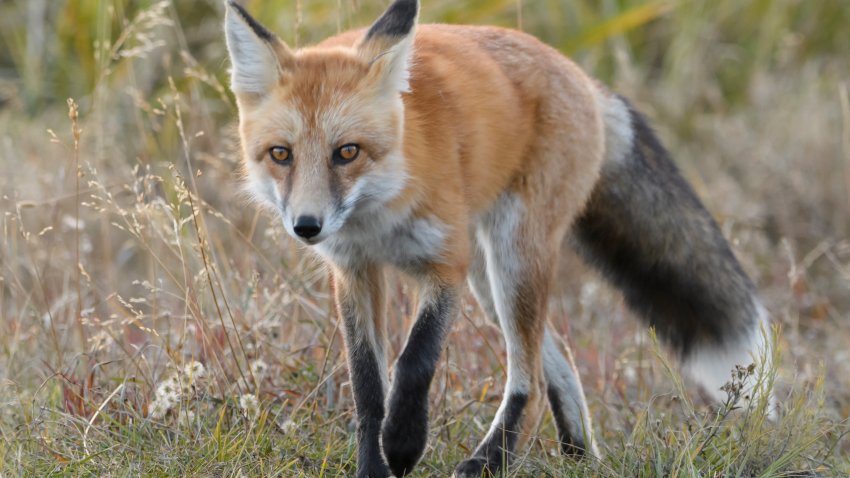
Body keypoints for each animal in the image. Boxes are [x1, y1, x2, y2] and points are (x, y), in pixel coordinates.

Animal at [222, 1, 772, 476]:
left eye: (347, 152)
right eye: (281, 154)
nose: (307, 226)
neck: (376, 217)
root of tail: (583, 78)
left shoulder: (447, 264)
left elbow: (414, 361)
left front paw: (403, 443)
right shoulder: (355, 271)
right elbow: (367, 388)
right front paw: (373, 467)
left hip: (512, 259)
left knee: (528, 379)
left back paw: (491, 462)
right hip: (491, 284)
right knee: (554, 363)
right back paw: (577, 455)